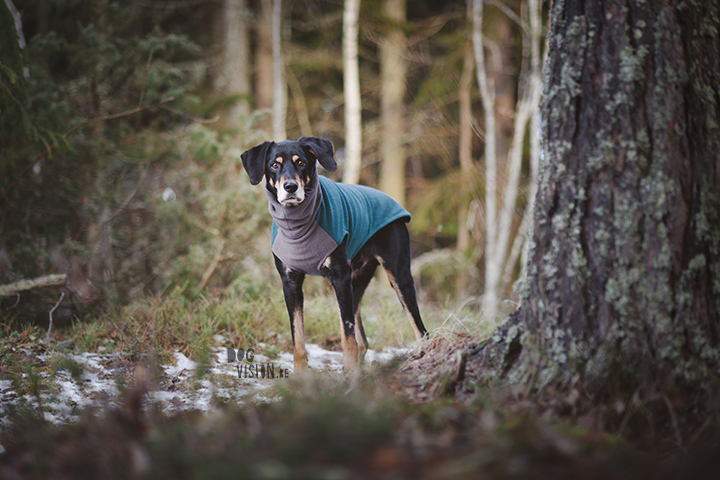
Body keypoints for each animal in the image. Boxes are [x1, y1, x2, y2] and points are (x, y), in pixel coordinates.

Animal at [240, 137, 428, 370]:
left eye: (301, 162)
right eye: (274, 165)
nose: (291, 187)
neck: (298, 224)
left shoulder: (339, 277)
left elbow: (347, 338)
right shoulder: (290, 282)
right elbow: (298, 339)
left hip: (397, 275)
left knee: (420, 329)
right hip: (357, 280)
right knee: (363, 339)